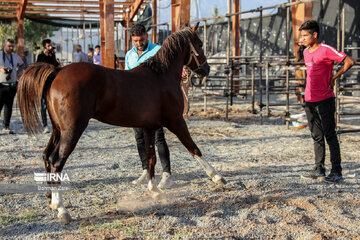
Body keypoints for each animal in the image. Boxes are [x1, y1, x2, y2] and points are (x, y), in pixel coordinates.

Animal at [17, 23, 225, 223]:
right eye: (200, 44)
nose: (206, 69)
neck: (161, 75)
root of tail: (57, 71)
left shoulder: (150, 127)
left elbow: (151, 157)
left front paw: (154, 190)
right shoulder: (176, 121)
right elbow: (193, 148)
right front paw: (217, 177)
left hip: (58, 129)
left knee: (46, 156)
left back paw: (51, 199)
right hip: (72, 130)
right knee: (56, 161)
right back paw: (62, 209)